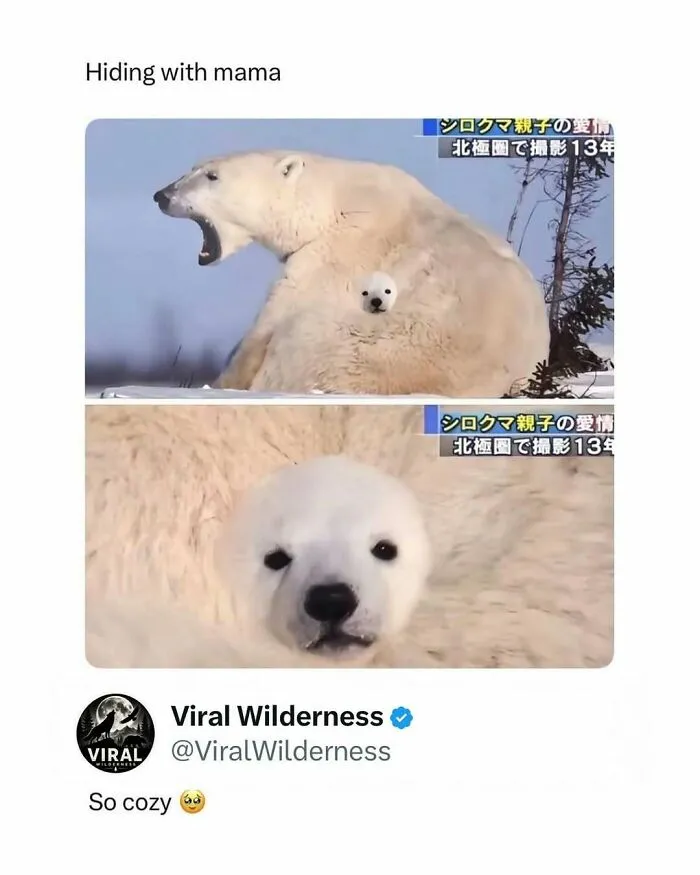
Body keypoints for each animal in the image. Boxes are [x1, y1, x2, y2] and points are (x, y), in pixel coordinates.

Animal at [153, 150, 550, 396]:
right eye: (191, 168)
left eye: (212, 176)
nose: (162, 195)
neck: (332, 202)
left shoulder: (336, 255)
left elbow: (271, 320)